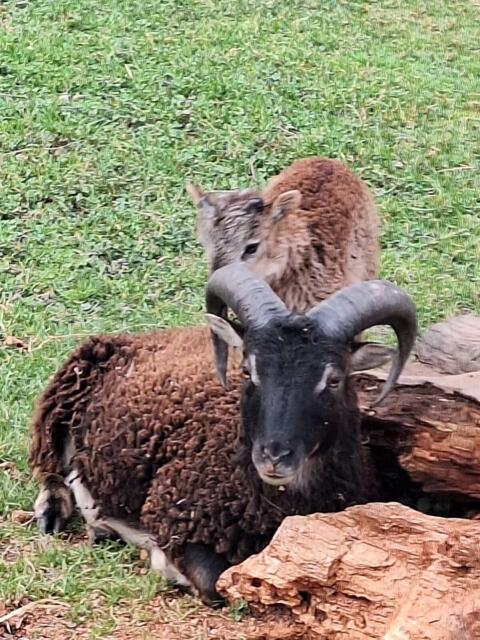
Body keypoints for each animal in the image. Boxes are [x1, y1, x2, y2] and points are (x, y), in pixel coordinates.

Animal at [30, 263, 416, 606]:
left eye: (333, 379)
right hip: (59, 408)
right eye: (247, 370)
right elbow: (215, 584)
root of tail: (135, 338)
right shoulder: (173, 517)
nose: (274, 456)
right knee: (55, 470)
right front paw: (162, 561)